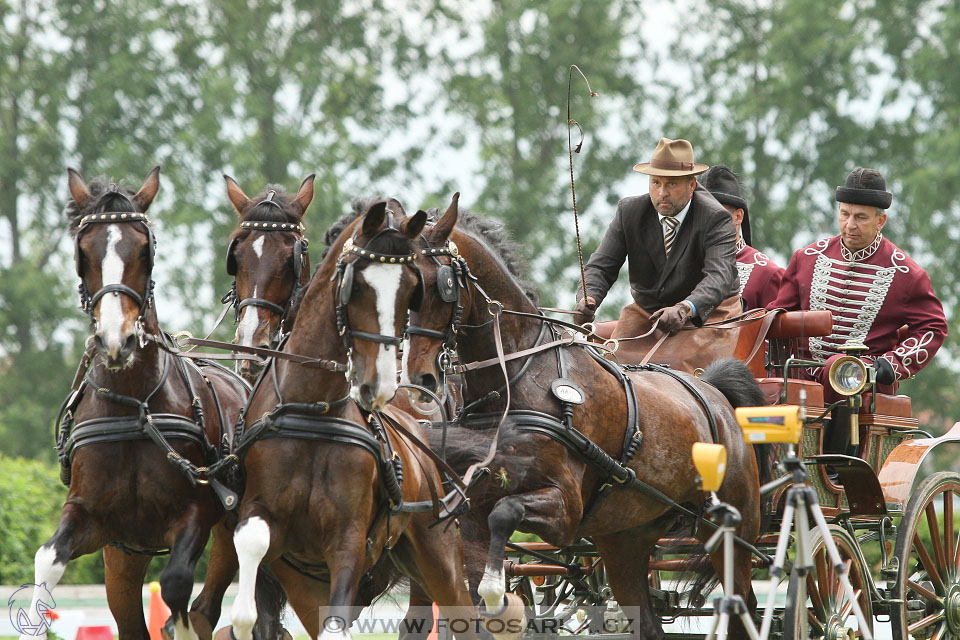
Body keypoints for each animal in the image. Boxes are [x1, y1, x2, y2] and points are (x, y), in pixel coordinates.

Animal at [23, 168, 278, 640]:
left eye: (144, 249)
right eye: (82, 252)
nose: (115, 340)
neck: (135, 406)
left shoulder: (195, 513)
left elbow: (176, 586)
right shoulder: (96, 521)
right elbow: (47, 558)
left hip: (225, 530)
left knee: (206, 603)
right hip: (124, 557)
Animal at [229, 198, 476, 636]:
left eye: (411, 290)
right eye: (355, 286)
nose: (381, 385)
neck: (314, 410)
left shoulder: (349, 541)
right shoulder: (265, 520)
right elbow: (252, 551)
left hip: (438, 553)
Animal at [400, 196, 764, 640]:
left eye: (439, 284)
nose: (419, 378)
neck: (518, 375)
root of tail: (715, 393)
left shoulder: (565, 508)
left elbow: (506, 515)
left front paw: (496, 594)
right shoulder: (470, 511)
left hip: (731, 531)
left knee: (744, 604)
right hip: (624, 538)